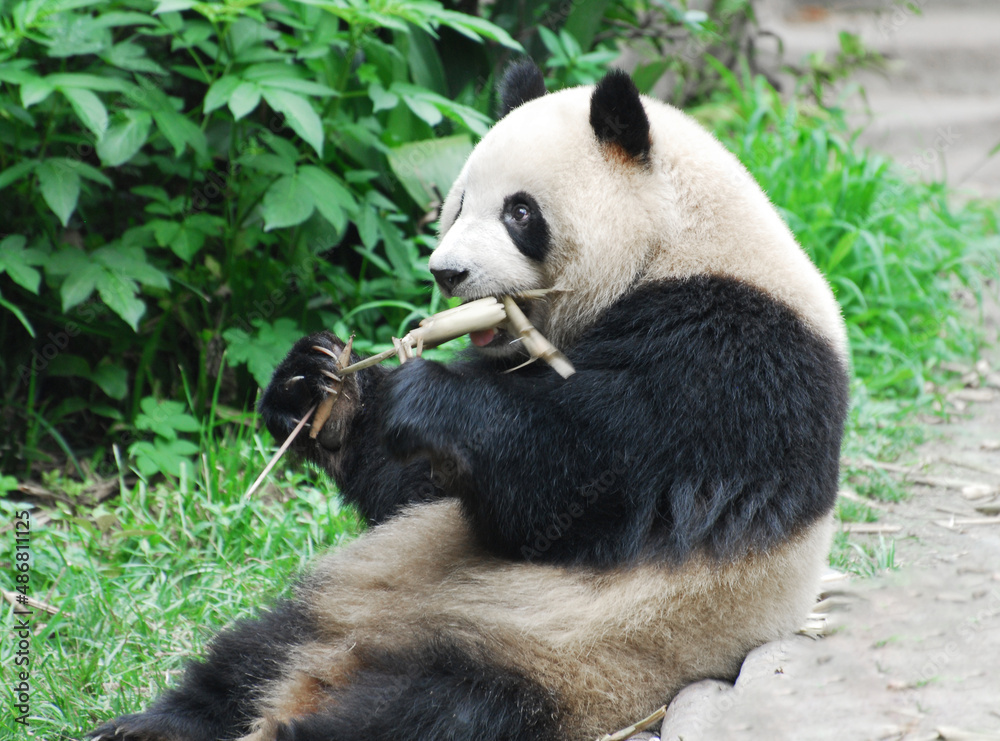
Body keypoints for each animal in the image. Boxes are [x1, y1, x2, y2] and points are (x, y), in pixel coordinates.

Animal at [92, 62, 849, 741]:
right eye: (457, 204)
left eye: (520, 211)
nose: (447, 272)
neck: (678, 242)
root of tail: (336, 664)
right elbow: (421, 490)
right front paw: (318, 388)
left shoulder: (731, 356)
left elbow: (577, 488)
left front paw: (425, 397)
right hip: (346, 597)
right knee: (247, 655)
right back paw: (149, 726)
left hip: (572, 658)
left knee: (438, 708)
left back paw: (306, 727)